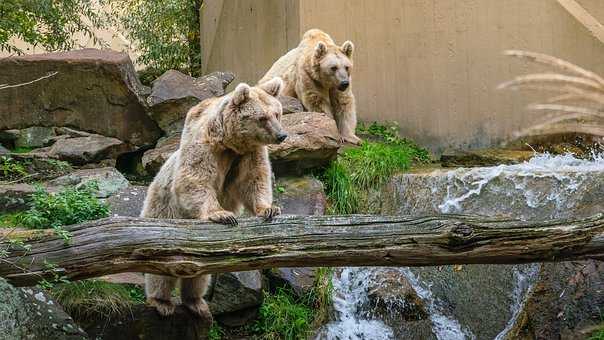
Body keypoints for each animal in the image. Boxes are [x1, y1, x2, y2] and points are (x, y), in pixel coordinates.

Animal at [143, 77, 290, 318]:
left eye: (277, 113)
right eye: (262, 118)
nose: (281, 135)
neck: (230, 142)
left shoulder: (250, 154)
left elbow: (255, 180)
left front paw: (269, 209)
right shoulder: (206, 146)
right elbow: (195, 179)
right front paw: (223, 215)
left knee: (200, 274)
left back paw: (196, 302)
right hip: (162, 212)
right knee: (160, 269)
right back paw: (161, 302)